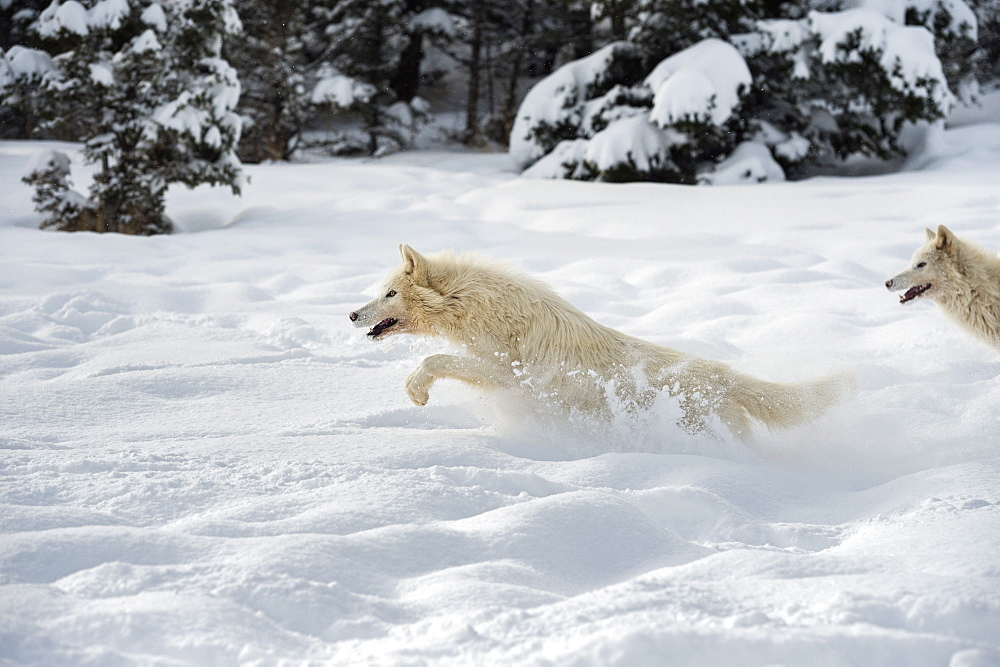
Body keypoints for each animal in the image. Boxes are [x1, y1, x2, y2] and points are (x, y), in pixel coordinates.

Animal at [352, 245, 852, 444]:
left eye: (389, 293)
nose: (353, 315)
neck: (481, 306)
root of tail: (725, 376)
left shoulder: (506, 374)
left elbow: (433, 358)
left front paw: (417, 392)